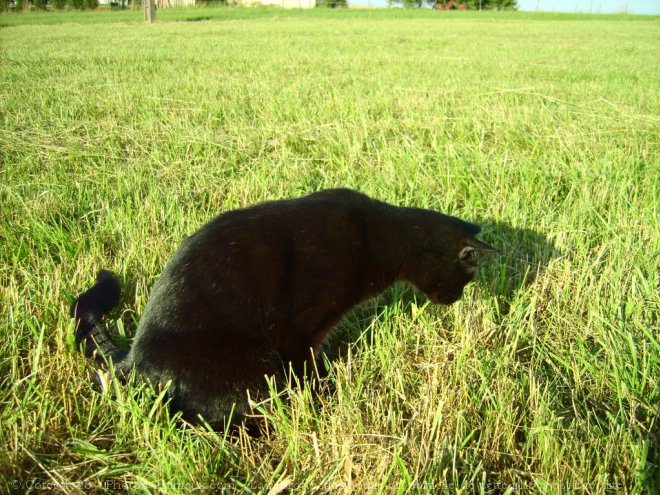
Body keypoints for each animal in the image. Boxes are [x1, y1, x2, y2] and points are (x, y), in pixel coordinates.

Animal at [71, 189, 496, 430]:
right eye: (467, 277)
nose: (456, 299)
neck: (381, 235)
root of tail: (130, 360)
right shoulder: (300, 328)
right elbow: (304, 368)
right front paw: (320, 400)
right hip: (251, 369)